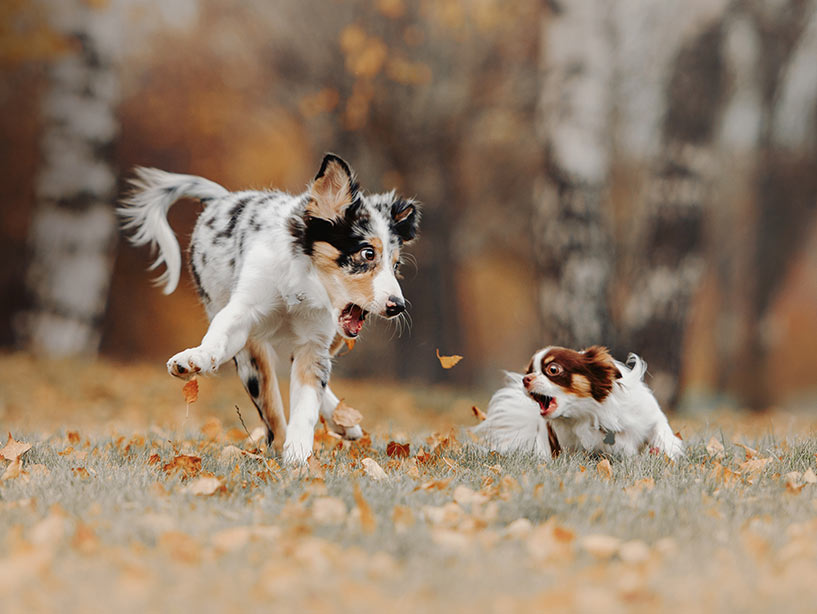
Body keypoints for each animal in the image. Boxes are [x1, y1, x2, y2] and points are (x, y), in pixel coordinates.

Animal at [472, 348, 684, 460]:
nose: (526, 379)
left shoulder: (650, 416)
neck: (593, 415)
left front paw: (668, 452)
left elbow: (662, 432)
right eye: (529, 371)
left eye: (553, 369)